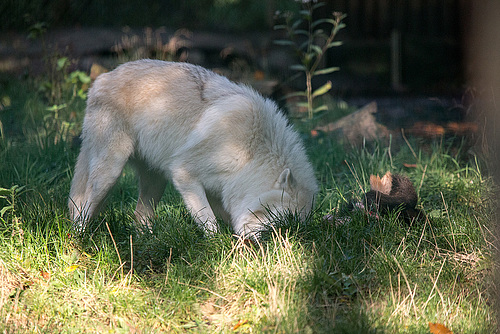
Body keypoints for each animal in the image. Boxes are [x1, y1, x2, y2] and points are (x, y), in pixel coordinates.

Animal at [68, 60, 318, 237]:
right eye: (275, 225)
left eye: (285, 227)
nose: (257, 245)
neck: (251, 153)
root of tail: (102, 77)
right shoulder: (184, 174)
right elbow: (209, 222)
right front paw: (217, 247)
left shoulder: (222, 190)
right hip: (110, 174)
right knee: (82, 206)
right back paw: (80, 240)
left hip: (156, 181)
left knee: (140, 217)